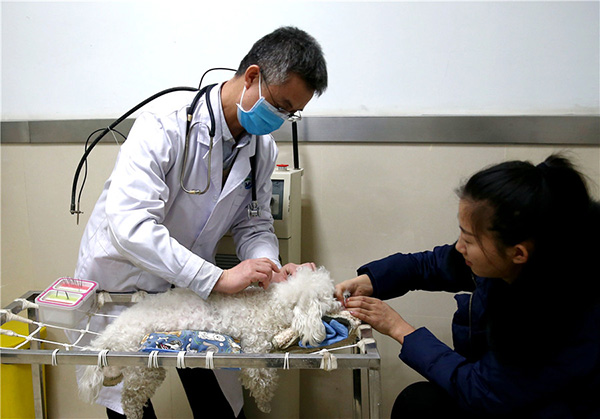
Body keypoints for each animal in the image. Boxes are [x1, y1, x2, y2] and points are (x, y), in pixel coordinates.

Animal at [77, 268, 354, 418]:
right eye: (327, 297)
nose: (343, 298)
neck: (274, 304)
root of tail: (112, 332)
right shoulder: (255, 349)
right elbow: (263, 380)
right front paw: (265, 405)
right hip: (140, 367)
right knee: (129, 398)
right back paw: (133, 413)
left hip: (147, 368)